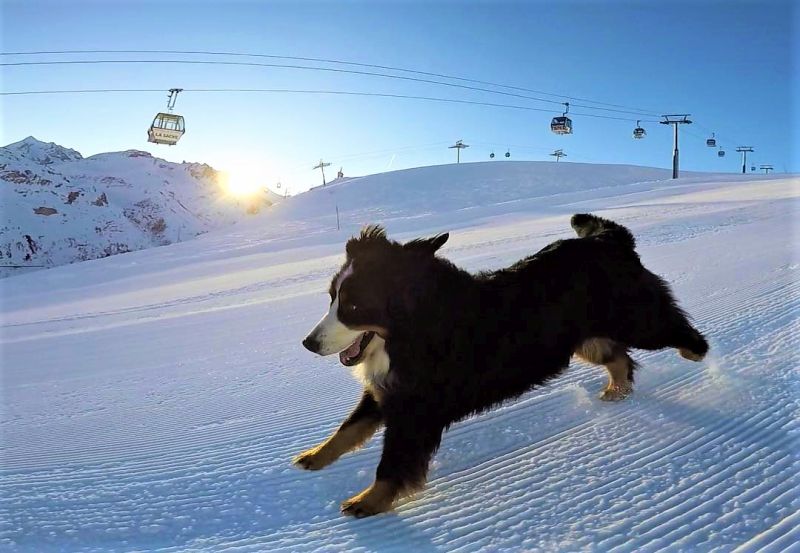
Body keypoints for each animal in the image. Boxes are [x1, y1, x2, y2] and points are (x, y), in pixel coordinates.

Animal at [298, 212, 708, 516]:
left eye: (352, 307)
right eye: (332, 298)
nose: (308, 343)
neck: (415, 327)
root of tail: (608, 239)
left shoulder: (415, 407)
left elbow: (392, 462)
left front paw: (366, 501)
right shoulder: (386, 389)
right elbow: (348, 429)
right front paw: (314, 457)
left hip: (636, 319)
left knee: (673, 327)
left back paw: (699, 353)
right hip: (585, 340)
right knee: (620, 359)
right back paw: (616, 392)